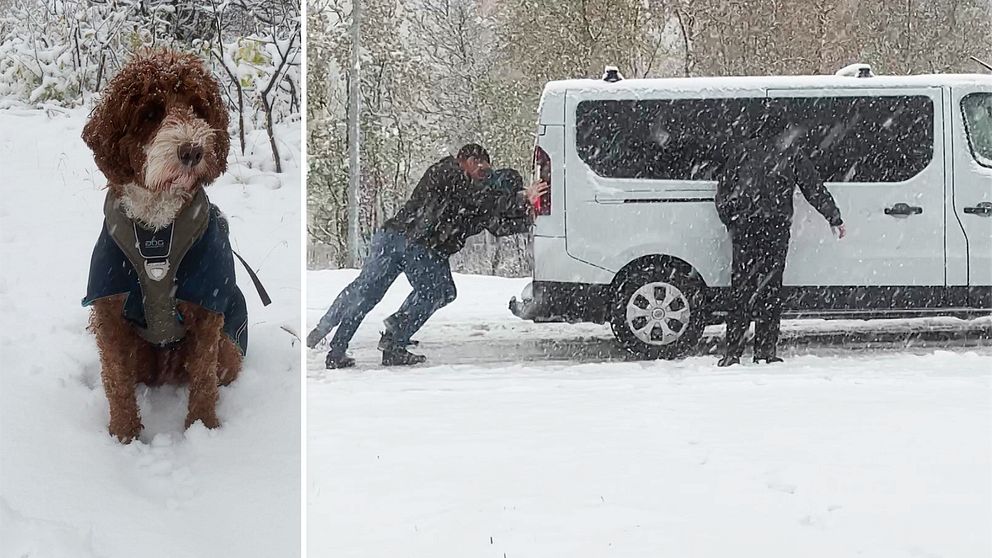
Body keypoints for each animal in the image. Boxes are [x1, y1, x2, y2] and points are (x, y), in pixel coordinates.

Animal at [82, 52, 241, 446]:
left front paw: (204, 429)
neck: (157, 228)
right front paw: (123, 437)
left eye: (198, 108)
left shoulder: (208, 305)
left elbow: (203, 377)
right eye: (151, 113)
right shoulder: (108, 305)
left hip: (230, 351)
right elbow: (116, 379)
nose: (193, 150)